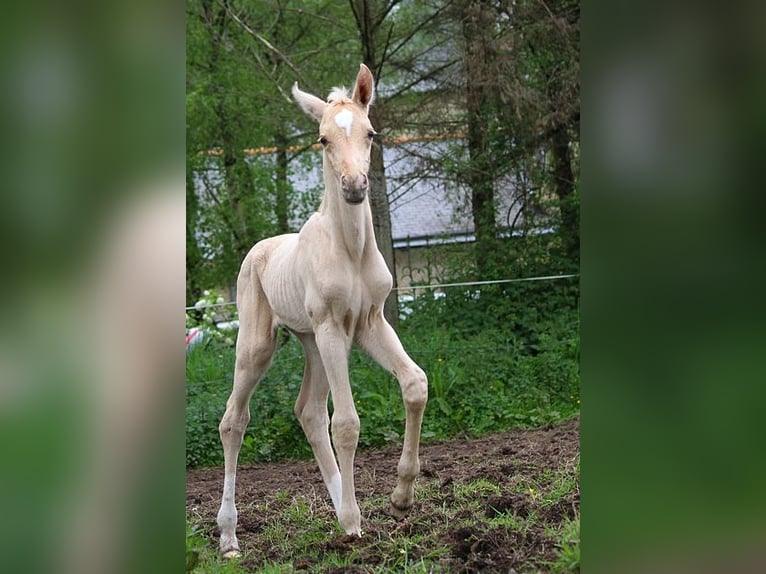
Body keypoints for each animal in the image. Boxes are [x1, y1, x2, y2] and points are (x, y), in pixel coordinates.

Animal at [219, 65, 428, 560]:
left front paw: (400, 499)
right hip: (260, 346)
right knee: (234, 421)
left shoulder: (370, 323)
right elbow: (348, 423)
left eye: (370, 133)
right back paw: (230, 537)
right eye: (322, 139)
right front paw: (357, 519)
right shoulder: (334, 327)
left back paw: (344, 512)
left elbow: (415, 384)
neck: (350, 250)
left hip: (311, 341)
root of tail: (257, 249)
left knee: (308, 412)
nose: (354, 187)